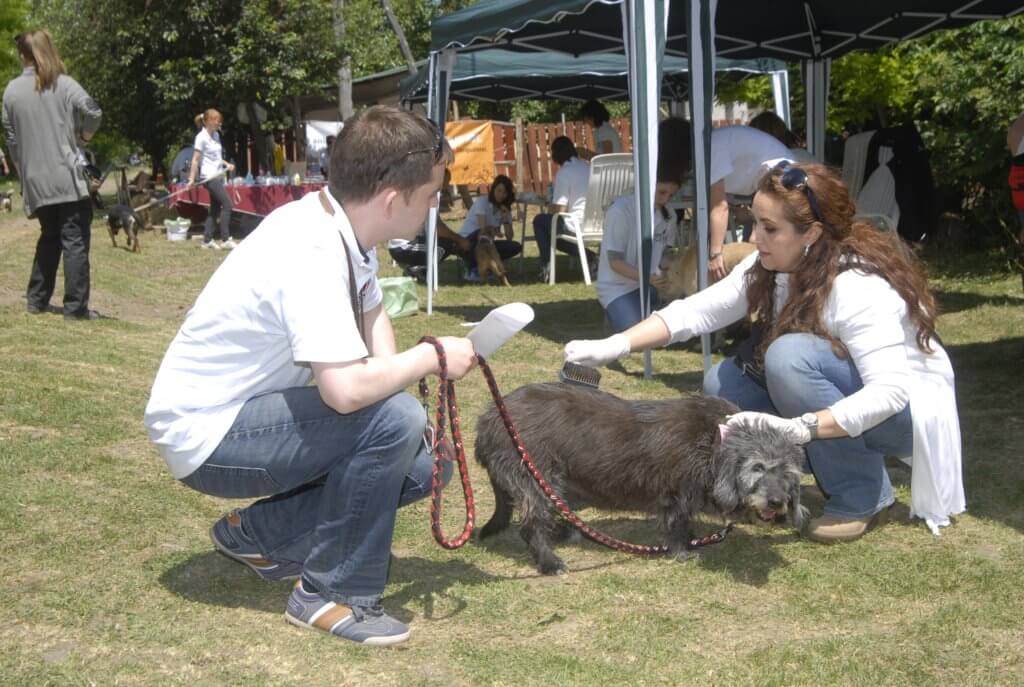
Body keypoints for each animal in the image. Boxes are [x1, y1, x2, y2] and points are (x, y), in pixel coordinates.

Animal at [475, 383, 807, 575]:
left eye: (787, 474)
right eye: (757, 467)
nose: (776, 502)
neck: (713, 440)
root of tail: (489, 417)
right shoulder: (676, 495)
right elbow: (676, 524)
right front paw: (683, 550)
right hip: (535, 475)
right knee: (531, 523)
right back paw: (548, 561)